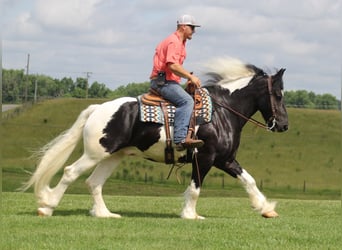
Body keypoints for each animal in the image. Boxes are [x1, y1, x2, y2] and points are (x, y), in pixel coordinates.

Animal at [22, 58, 288, 219]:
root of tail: (98, 108)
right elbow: (195, 188)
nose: (284, 125)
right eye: (278, 94)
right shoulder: (205, 158)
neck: (221, 112)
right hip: (95, 154)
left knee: (93, 182)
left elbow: (249, 181)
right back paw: (47, 206)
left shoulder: (225, 159)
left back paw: (104, 214)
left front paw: (266, 208)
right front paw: (190, 215)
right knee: (70, 173)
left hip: (112, 156)